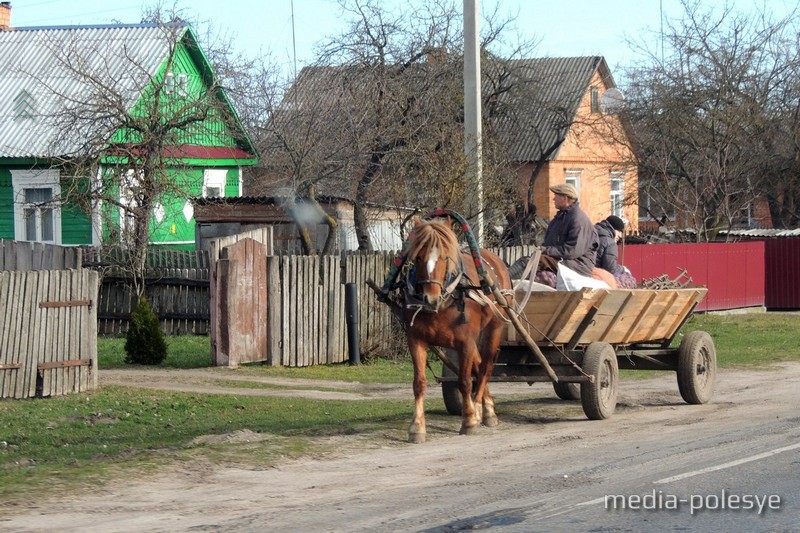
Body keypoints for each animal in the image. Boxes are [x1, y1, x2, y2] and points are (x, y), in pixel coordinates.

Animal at [404, 218, 510, 442]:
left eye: (445, 257)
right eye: (418, 257)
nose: (430, 298)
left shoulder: (466, 341)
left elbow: (464, 381)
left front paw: (469, 419)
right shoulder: (416, 340)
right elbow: (419, 383)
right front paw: (417, 426)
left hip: (494, 328)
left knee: (485, 367)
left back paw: (480, 409)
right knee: (478, 365)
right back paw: (486, 406)